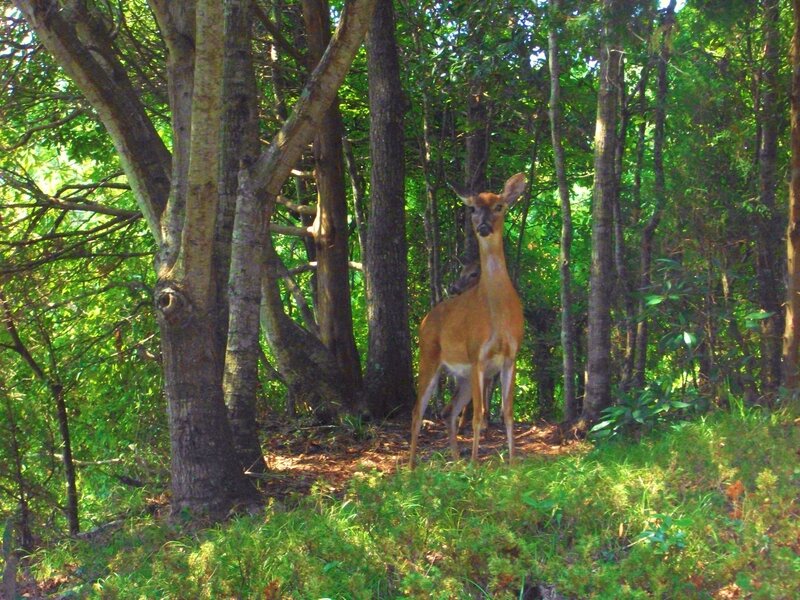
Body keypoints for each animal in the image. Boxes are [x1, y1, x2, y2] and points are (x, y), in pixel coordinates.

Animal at [410, 173, 526, 467]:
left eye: (499, 206)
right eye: (472, 208)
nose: (483, 226)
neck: (497, 313)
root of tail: (425, 319)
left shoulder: (511, 356)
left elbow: (507, 411)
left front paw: (513, 462)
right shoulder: (477, 355)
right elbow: (478, 415)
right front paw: (476, 464)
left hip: (461, 377)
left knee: (449, 411)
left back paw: (454, 460)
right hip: (429, 356)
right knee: (418, 411)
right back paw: (410, 467)